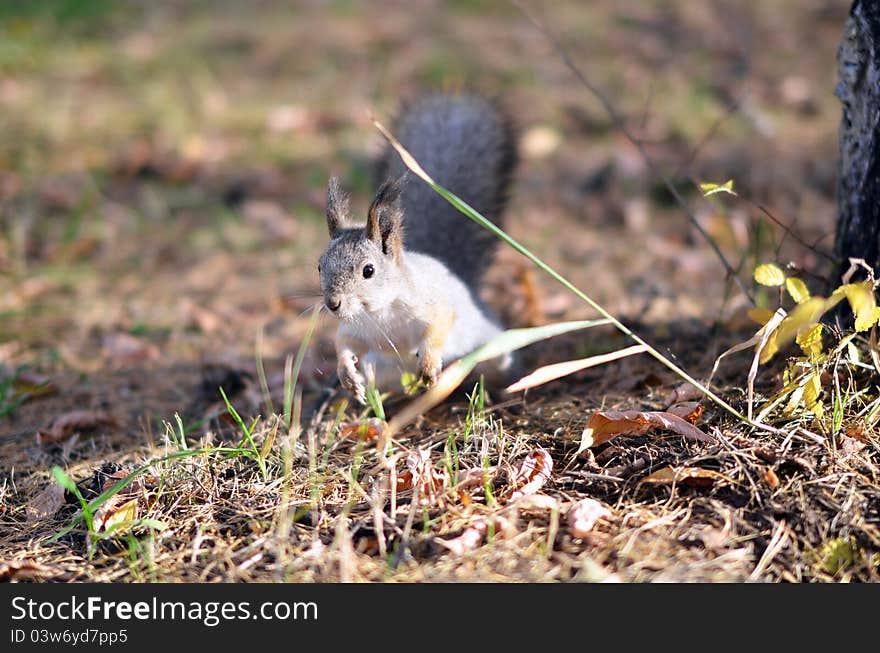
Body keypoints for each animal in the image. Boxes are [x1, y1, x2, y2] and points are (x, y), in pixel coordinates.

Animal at [320, 93, 520, 402]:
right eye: (319, 266)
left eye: (368, 270)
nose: (333, 304)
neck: (379, 313)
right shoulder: (356, 329)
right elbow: (342, 343)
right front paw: (347, 376)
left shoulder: (433, 306)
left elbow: (438, 328)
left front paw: (427, 365)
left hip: (493, 347)